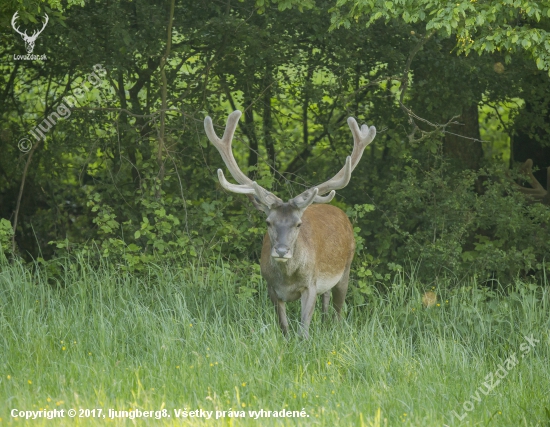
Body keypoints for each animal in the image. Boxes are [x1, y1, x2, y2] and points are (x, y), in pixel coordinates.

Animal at [205, 110, 378, 338]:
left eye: (298, 224)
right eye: (268, 222)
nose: (281, 251)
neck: (287, 279)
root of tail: (340, 211)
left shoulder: (311, 284)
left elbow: (303, 329)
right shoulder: (271, 288)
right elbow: (284, 326)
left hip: (346, 268)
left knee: (338, 310)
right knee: (326, 303)